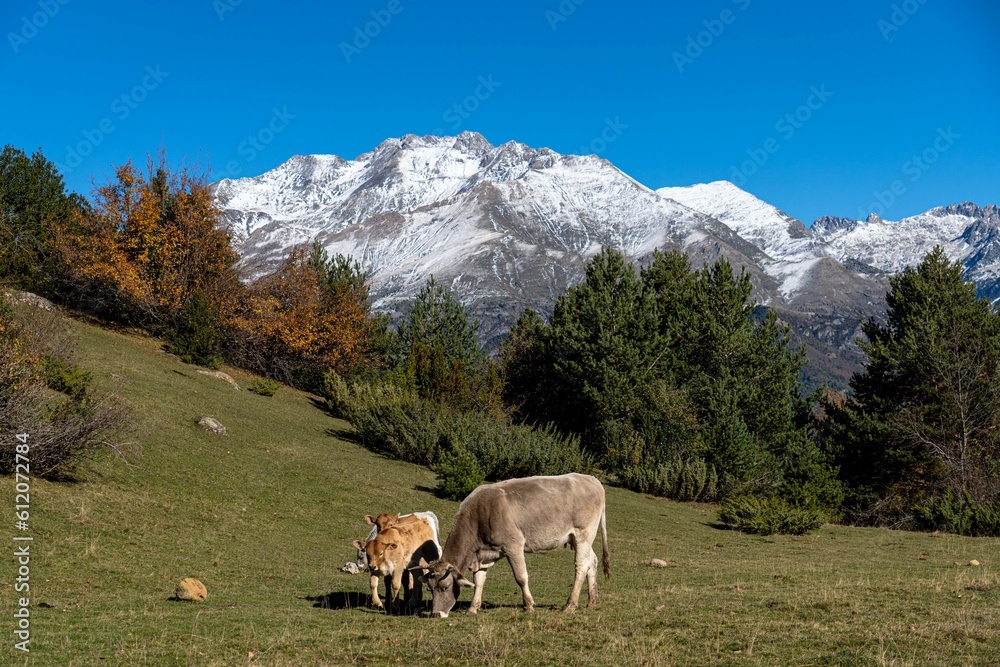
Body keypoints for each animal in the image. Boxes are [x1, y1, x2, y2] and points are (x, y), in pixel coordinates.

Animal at [416, 472, 604, 620]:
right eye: (429, 588)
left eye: (446, 587)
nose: (436, 614)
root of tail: (591, 479)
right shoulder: (482, 555)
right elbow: (479, 580)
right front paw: (473, 608)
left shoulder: (513, 545)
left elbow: (521, 577)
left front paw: (529, 605)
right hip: (580, 538)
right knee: (592, 561)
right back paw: (593, 601)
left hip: (583, 533)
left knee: (581, 566)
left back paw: (570, 605)